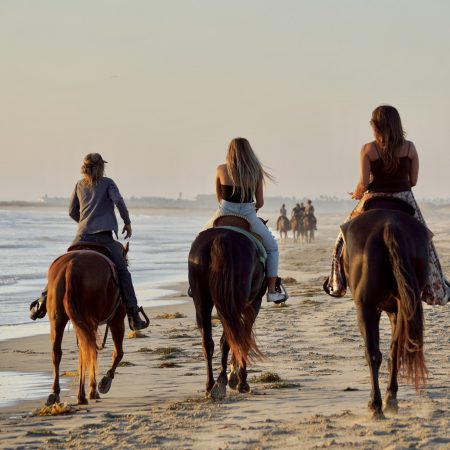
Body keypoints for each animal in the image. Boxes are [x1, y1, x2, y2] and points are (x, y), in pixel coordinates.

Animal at [45, 244, 132, 406]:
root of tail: (72, 266)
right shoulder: (117, 320)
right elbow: (118, 353)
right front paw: (103, 383)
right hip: (91, 320)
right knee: (90, 351)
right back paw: (87, 393)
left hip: (58, 319)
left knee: (58, 352)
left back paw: (57, 393)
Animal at [187, 220, 266, 400]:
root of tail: (221, 238)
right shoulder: (253, 304)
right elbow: (244, 338)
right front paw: (239, 379)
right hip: (235, 303)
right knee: (230, 338)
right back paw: (225, 381)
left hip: (202, 302)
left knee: (208, 342)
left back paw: (211, 386)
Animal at [342, 200, 430, 418]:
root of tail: (389, 225)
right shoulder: (394, 310)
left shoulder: (373, 308)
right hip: (403, 306)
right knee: (394, 351)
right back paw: (391, 399)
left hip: (365, 306)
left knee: (372, 353)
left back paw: (376, 404)